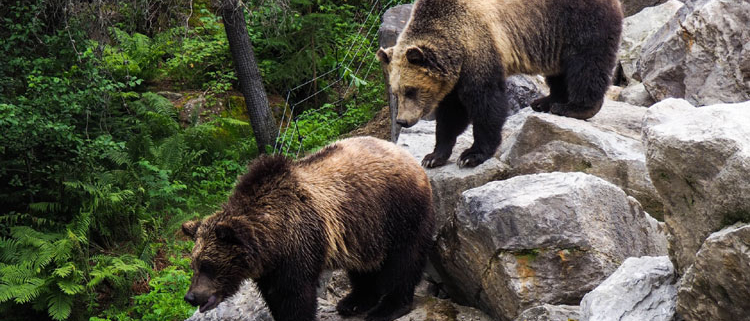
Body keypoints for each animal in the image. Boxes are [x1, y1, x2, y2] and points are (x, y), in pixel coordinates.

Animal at [181, 136, 434, 320]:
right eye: (194, 264)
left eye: (208, 265)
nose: (191, 297)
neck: (271, 238)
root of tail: (407, 156)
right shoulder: (270, 266)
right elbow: (274, 296)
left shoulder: (299, 242)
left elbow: (294, 296)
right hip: (364, 229)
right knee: (364, 266)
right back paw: (353, 302)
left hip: (399, 211)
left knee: (404, 260)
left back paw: (388, 307)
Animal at [382, 0, 624, 169]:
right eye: (396, 92)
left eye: (411, 90)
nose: (402, 121)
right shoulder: (455, 75)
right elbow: (451, 114)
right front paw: (433, 157)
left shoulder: (480, 46)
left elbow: (486, 103)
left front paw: (471, 155)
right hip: (553, 36)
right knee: (559, 70)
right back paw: (545, 102)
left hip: (577, 20)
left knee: (586, 63)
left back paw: (574, 107)